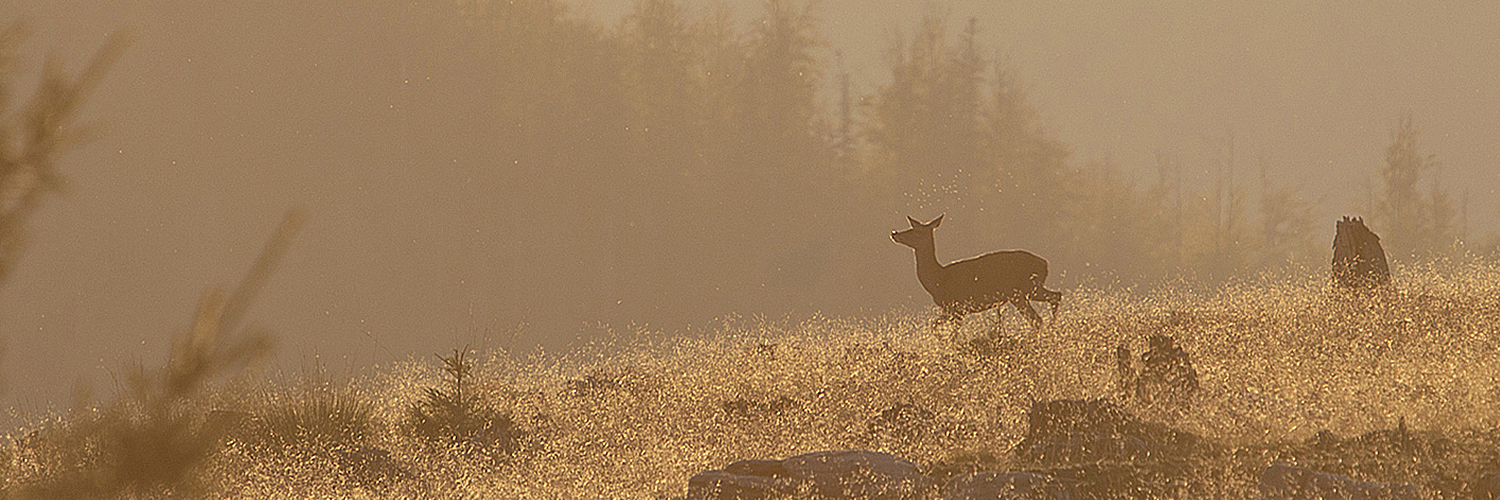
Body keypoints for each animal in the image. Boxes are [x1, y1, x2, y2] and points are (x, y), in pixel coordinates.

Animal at [894, 211, 1062, 336]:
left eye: (916, 232)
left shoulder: (957, 307)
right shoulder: (949, 310)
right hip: (1030, 290)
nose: (894, 233)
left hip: (1022, 290)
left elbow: (951, 335)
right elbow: (934, 326)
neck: (938, 280)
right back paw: (1051, 330)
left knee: (1037, 318)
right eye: (911, 227)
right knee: (1055, 296)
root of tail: (1045, 264)